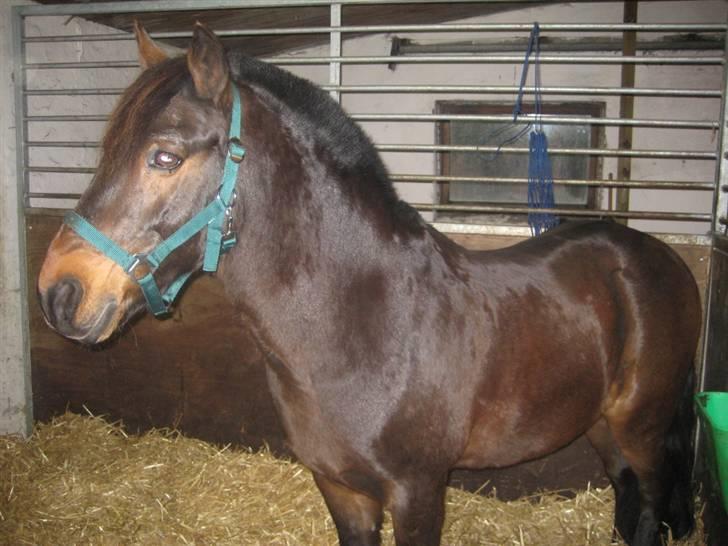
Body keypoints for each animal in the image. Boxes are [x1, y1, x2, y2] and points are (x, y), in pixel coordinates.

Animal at [37, 22, 701, 546]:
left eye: (165, 157)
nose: (58, 293)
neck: (363, 324)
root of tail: (661, 259)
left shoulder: (418, 492)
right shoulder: (340, 488)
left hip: (642, 425)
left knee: (649, 503)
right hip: (602, 425)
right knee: (625, 492)